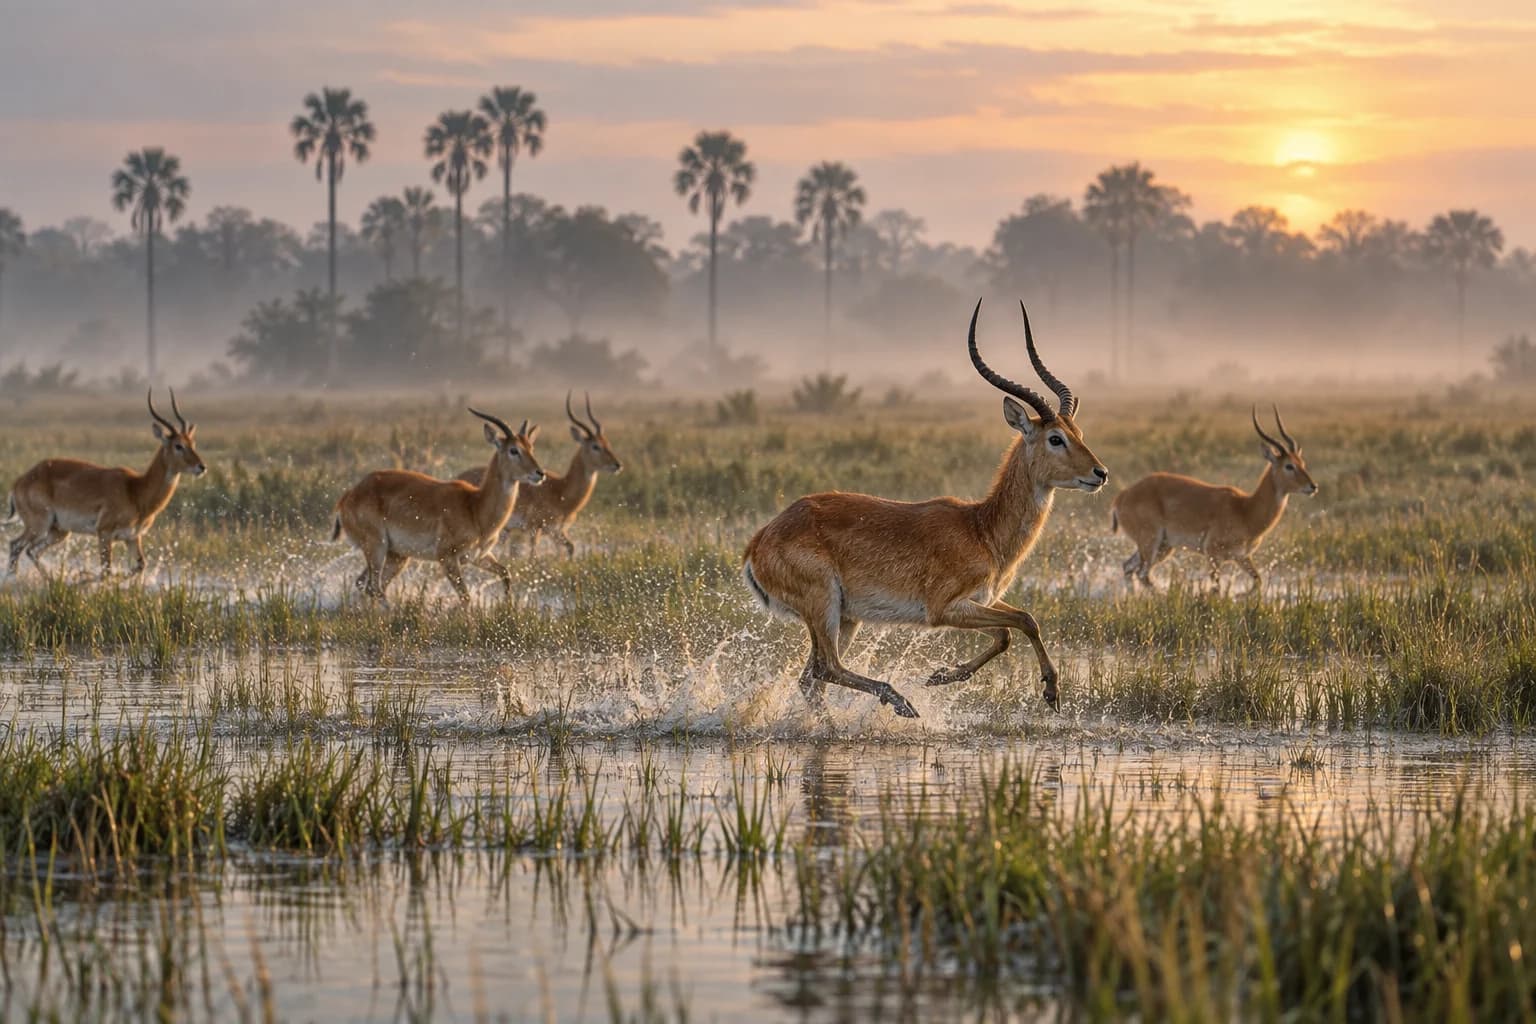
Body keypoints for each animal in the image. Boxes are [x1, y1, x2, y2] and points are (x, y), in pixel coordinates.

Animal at [6, 391, 206, 579]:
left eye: (193, 443)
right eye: (178, 445)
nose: (201, 467)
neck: (136, 491)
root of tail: (20, 481)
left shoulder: (133, 537)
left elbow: (140, 565)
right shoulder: (104, 533)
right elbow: (106, 572)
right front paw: (84, 579)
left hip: (59, 531)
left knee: (32, 550)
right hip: (39, 525)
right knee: (17, 545)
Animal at [332, 408, 545, 601]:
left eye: (531, 447)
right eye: (513, 450)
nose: (539, 473)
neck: (475, 507)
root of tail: (348, 496)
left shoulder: (479, 557)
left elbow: (506, 574)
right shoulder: (447, 558)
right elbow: (466, 597)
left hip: (396, 555)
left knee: (366, 585)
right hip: (377, 547)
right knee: (374, 588)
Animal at [455, 393, 622, 558]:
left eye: (531, 448)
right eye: (595, 446)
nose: (617, 464)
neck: (561, 491)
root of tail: (458, 477)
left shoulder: (556, 531)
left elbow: (570, 547)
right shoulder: (534, 529)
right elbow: (533, 557)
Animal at [742, 300, 1108, 718]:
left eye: (1079, 433)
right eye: (1055, 438)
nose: (1100, 473)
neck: (981, 529)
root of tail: (759, 541)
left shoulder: (976, 603)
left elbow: (1005, 633)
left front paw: (941, 675)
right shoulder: (943, 609)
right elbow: (1025, 619)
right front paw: (1050, 690)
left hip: (846, 617)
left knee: (811, 678)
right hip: (825, 607)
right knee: (825, 667)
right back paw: (901, 702)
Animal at [1111, 407, 1317, 592]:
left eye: (1302, 463)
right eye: (1289, 466)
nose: (1313, 486)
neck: (1246, 510)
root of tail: (1123, 495)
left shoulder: (1242, 557)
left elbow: (1257, 582)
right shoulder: (1213, 556)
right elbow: (1216, 588)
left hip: (1162, 547)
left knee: (1128, 568)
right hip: (1151, 543)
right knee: (1142, 574)